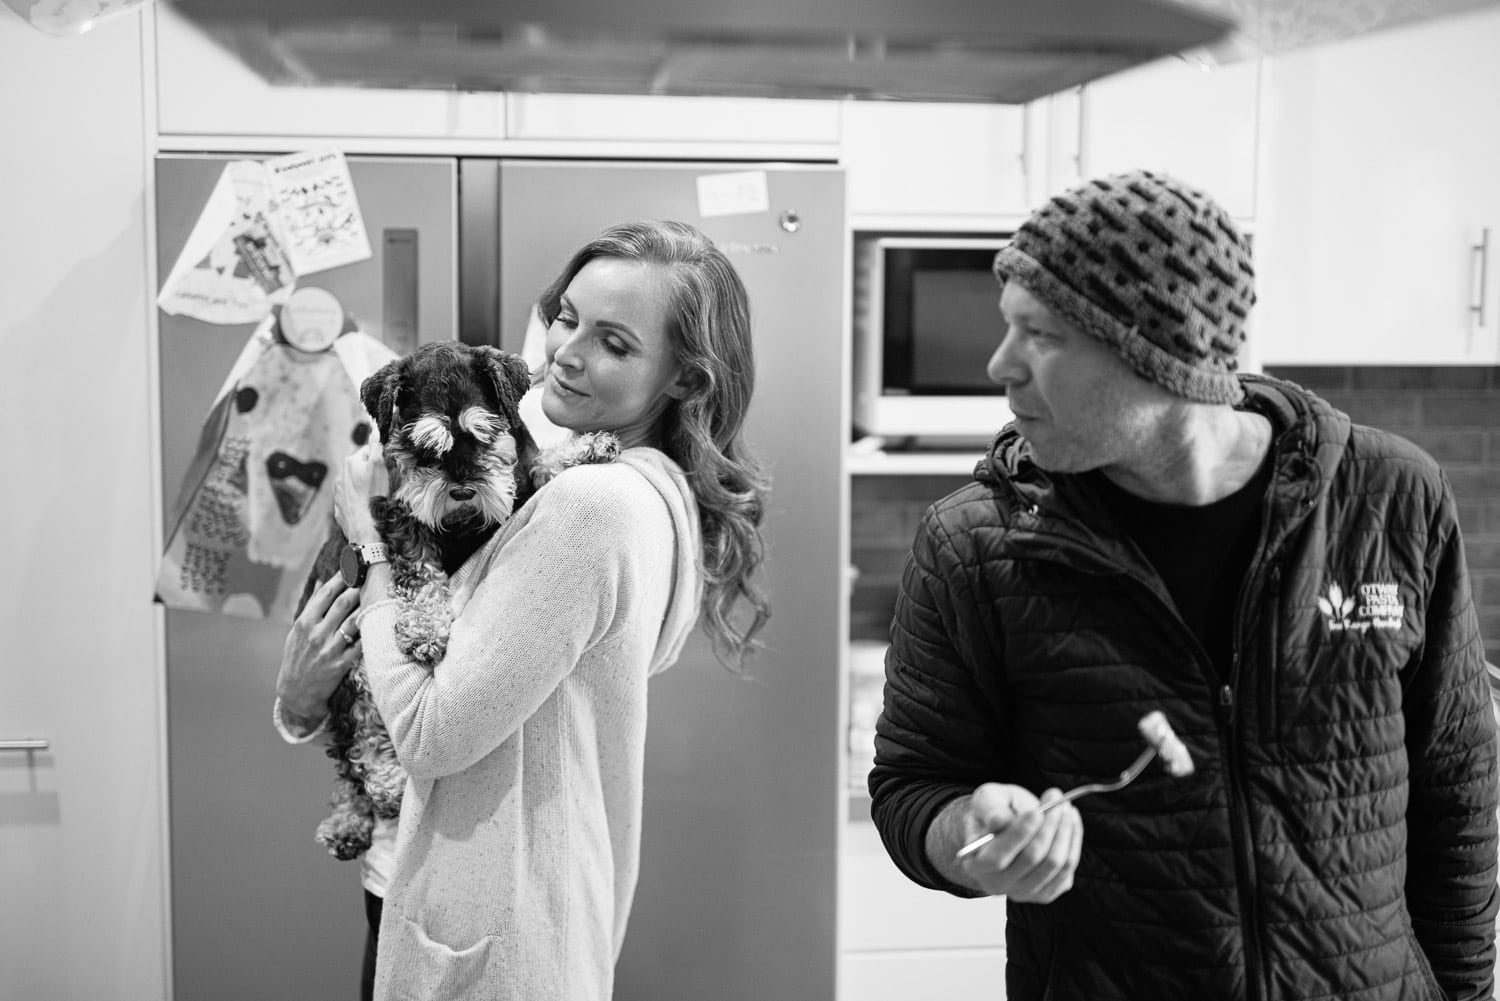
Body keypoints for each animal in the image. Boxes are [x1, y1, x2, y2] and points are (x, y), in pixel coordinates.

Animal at [292, 340, 621, 858]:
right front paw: (426, 629)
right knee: (357, 743)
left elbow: (537, 464)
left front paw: (589, 446)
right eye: (426, 447)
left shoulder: (515, 481)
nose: (463, 491)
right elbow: (420, 571)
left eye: (484, 434)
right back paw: (366, 805)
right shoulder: (400, 516)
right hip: (352, 672)